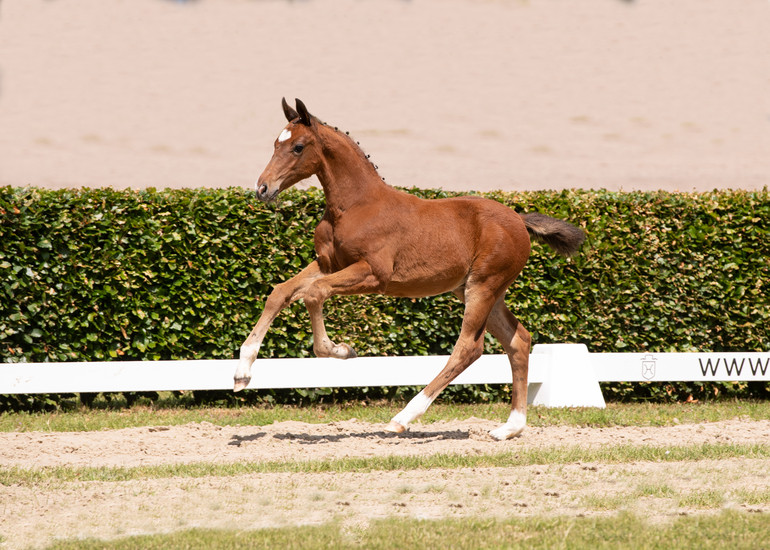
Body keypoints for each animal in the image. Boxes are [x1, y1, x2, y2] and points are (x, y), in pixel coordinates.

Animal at [234, 99, 584, 442]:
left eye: (298, 147)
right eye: (275, 143)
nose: (262, 188)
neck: (355, 206)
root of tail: (519, 220)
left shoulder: (374, 274)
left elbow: (313, 294)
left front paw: (342, 350)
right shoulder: (328, 264)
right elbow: (280, 292)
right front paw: (242, 373)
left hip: (483, 287)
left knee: (469, 348)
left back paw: (402, 419)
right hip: (479, 291)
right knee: (518, 341)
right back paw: (510, 428)